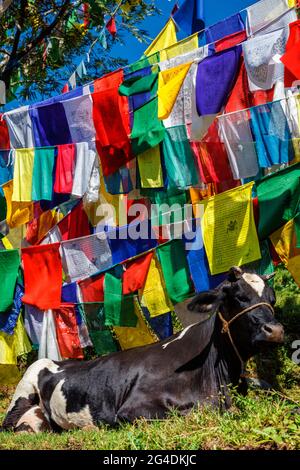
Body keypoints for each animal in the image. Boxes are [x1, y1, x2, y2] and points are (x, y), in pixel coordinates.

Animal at [1, 268, 284, 434]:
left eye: (272, 298)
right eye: (237, 296)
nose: (275, 330)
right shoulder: (133, 409)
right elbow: (193, 412)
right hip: (26, 384)